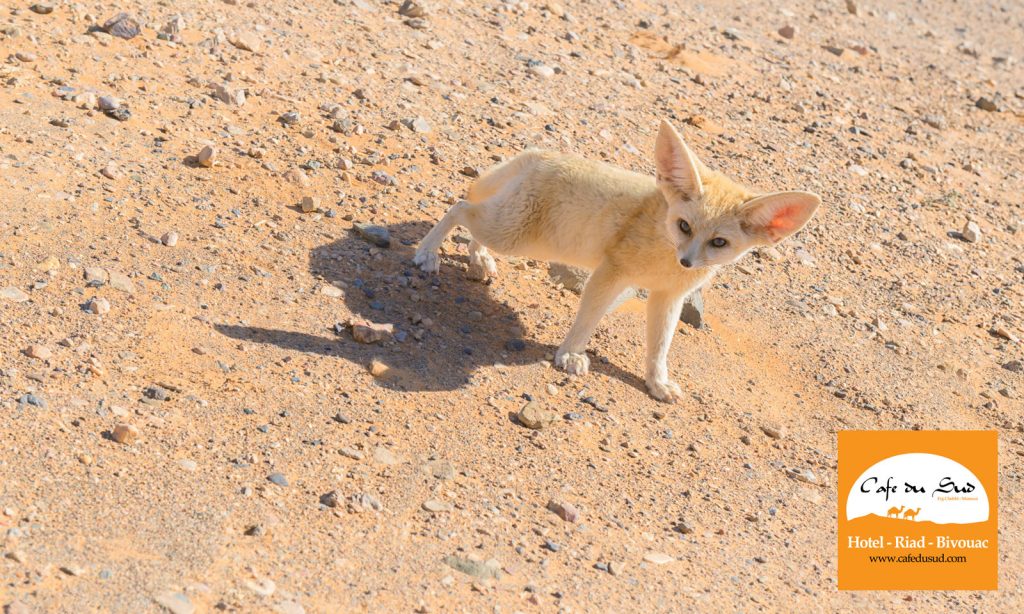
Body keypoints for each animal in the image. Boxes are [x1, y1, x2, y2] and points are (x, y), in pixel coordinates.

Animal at [411, 119, 819, 403]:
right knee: (460, 206)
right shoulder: (612, 272)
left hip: (519, 234)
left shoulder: (667, 297)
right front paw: (570, 355)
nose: (687, 262)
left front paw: (657, 382)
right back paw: (428, 253)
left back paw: (478, 260)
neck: (664, 255)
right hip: (515, 236)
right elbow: (588, 318)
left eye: (719, 242)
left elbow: (659, 346)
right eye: (684, 226)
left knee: (474, 219)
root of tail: (541, 153)